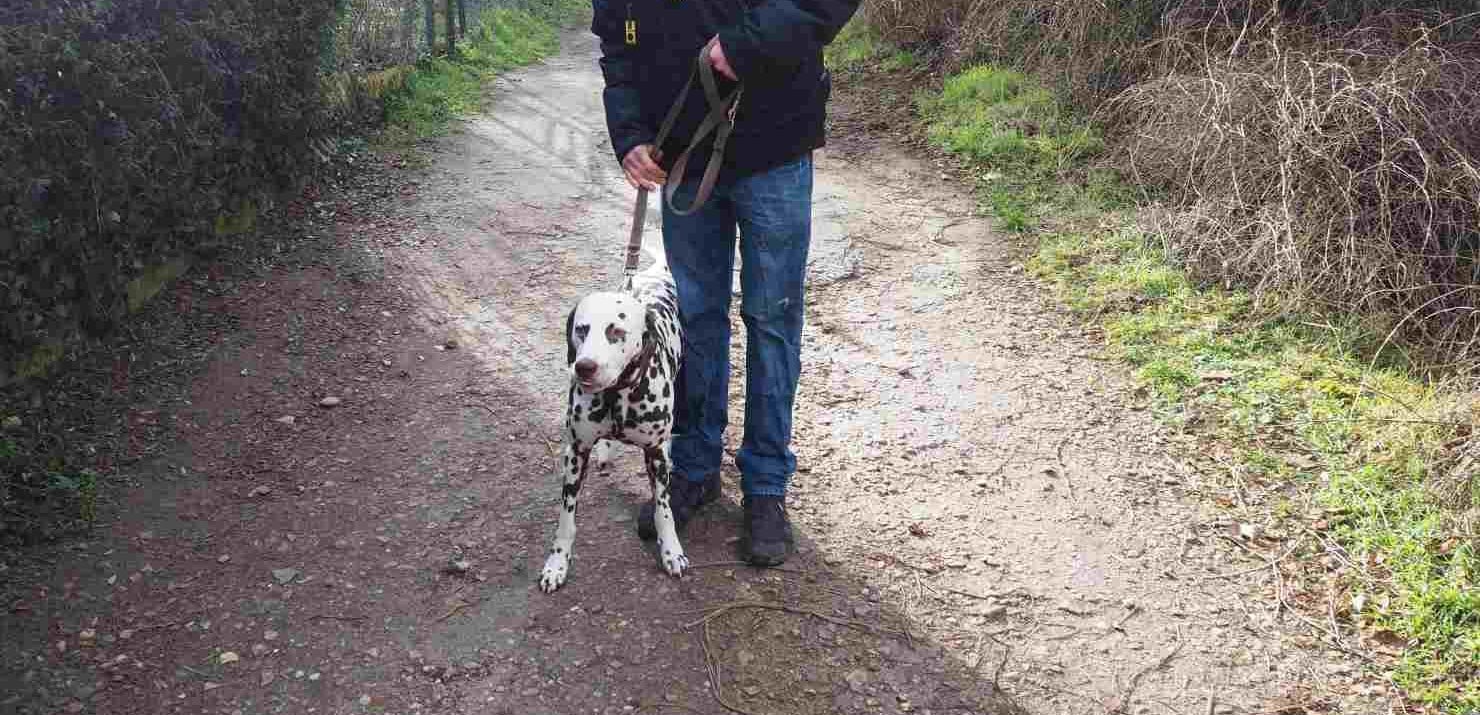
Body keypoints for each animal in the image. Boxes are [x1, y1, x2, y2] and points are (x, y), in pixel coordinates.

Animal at [541, 251, 683, 592]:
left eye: (616, 332)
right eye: (581, 329)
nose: (584, 367)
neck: (617, 395)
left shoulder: (656, 455)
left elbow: (664, 509)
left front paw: (671, 551)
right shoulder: (576, 454)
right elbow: (565, 519)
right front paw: (557, 563)